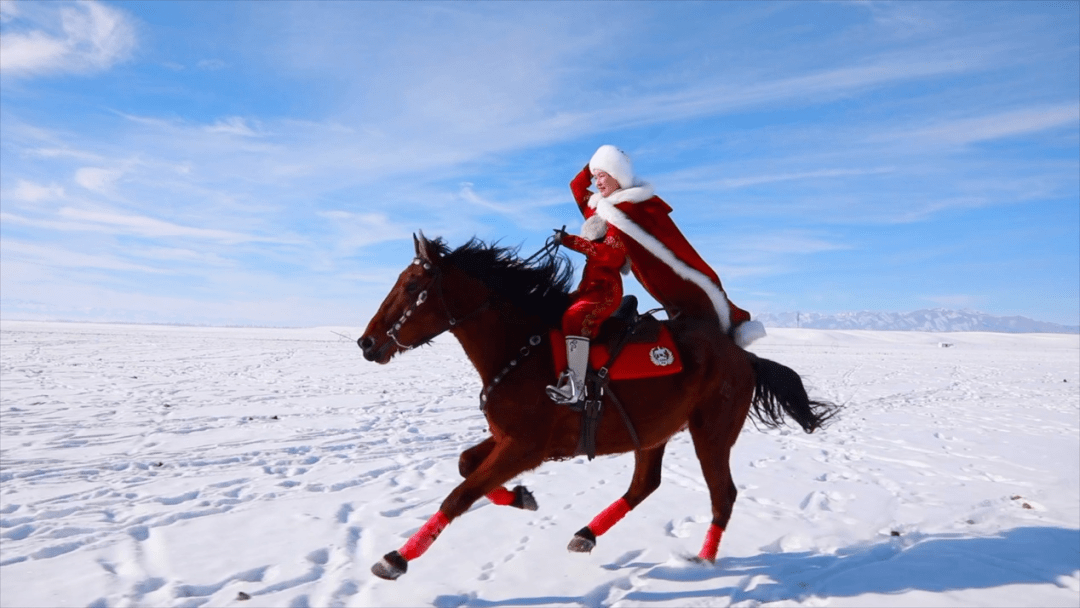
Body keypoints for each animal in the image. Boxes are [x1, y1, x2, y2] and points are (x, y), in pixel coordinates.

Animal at [358, 233, 838, 578]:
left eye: (412, 285)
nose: (366, 343)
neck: (522, 350)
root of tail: (742, 356)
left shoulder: (525, 447)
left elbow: (460, 494)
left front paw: (396, 558)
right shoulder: (508, 438)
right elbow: (464, 466)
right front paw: (522, 497)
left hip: (712, 432)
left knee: (723, 494)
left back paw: (703, 560)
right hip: (653, 431)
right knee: (645, 485)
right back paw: (586, 534)